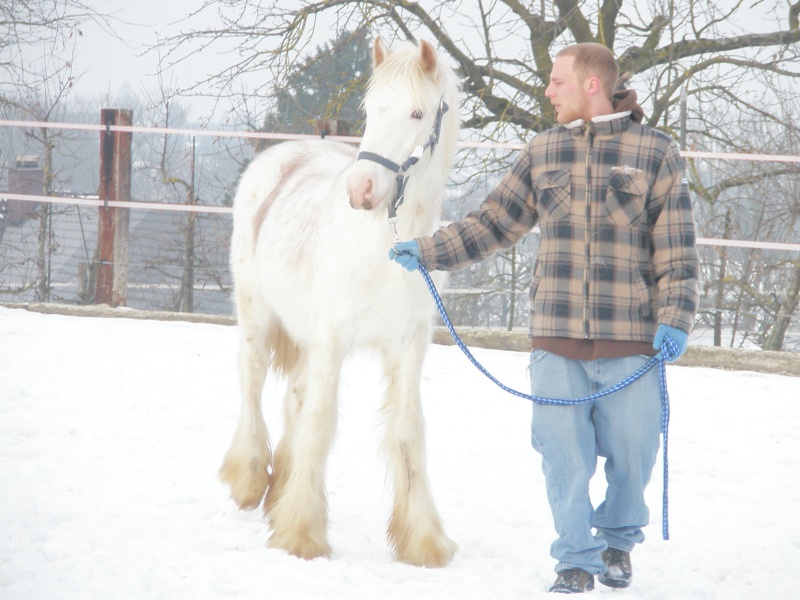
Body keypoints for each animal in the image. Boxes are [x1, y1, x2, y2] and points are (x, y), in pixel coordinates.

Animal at [222, 36, 462, 568]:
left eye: (418, 112)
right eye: (371, 109)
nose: (361, 190)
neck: (386, 248)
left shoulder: (409, 346)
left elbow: (408, 430)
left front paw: (423, 540)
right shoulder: (332, 340)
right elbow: (321, 422)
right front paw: (300, 535)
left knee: (292, 399)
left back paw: (279, 492)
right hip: (256, 315)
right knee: (250, 382)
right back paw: (249, 480)